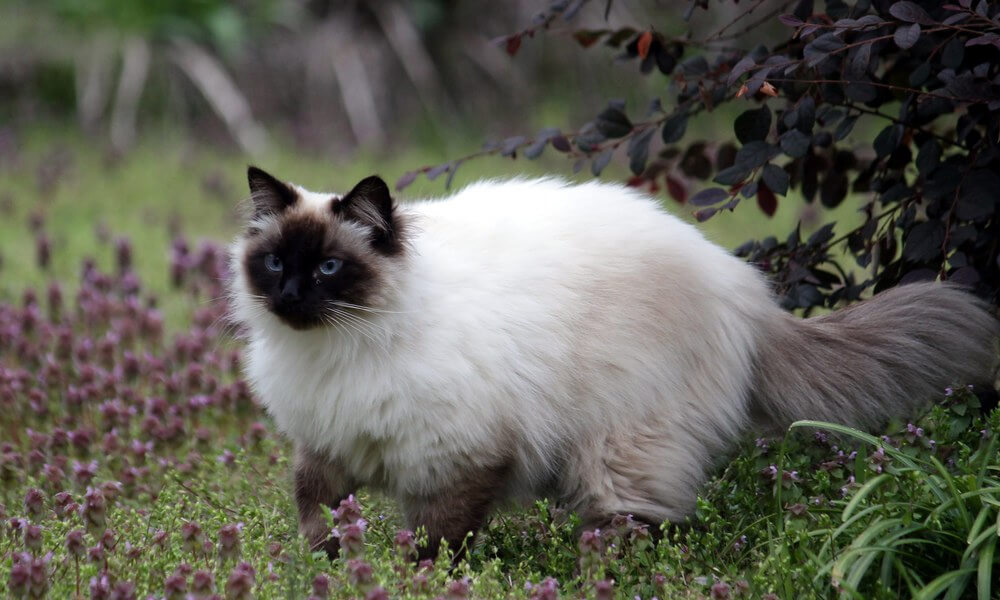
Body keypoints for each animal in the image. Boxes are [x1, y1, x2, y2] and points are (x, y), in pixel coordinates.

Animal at [229, 164, 1000, 556]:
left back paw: (598, 575)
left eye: (330, 267)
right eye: (275, 263)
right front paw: (328, 566)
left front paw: (407, 577)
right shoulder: (329, 443)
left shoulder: (462, 457)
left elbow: (435, 541)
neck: (337, 349)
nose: (291, 295)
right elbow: (315, 511)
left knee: (630, 527)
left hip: (618, 446)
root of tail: (744, 291)